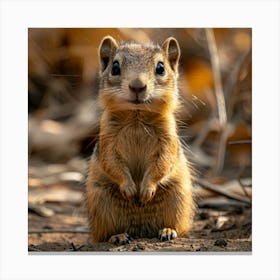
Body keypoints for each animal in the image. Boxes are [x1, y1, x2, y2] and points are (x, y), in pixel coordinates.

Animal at [86, 36, 195, 244]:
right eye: (115, 67)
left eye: (161, 67)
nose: (137, 86)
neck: (136, 115)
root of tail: (140, 230)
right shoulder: (107, 138)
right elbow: (111, 161)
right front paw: (129, 188)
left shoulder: (167, 138)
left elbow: (164, 161)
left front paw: (146, 189)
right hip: (101, 202)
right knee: (105, 234)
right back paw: (118, 236)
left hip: (178, 198)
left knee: (177, 226)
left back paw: (167, 231)